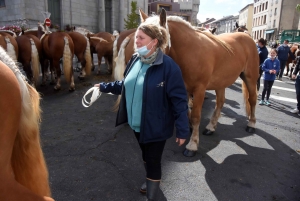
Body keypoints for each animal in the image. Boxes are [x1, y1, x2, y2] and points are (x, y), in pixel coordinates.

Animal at [115, 9, 260, 157]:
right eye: (137, 38)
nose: (134, 61)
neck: (191, 52)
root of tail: (247, 37)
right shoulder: (183, 89)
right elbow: (186, 112)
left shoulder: (199, 90)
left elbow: (196, 116)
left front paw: (192, 145)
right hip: (221, 82)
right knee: (220, 102)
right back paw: (211, 127)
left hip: (250, 78)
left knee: (252, 99)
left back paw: (251, 124)